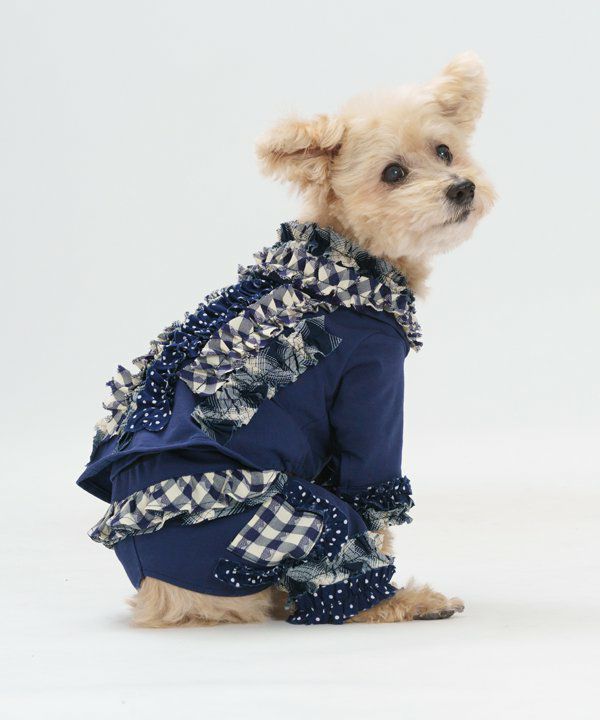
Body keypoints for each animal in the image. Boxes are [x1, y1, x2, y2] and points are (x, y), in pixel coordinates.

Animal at [80, 52, 494, 627]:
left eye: (444, 151)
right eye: (393, 173)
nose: (462, 187)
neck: (346, 258)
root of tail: (157, 595)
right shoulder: (372, 389)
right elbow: (376, 500)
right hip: (297, 511)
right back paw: (404, 602)